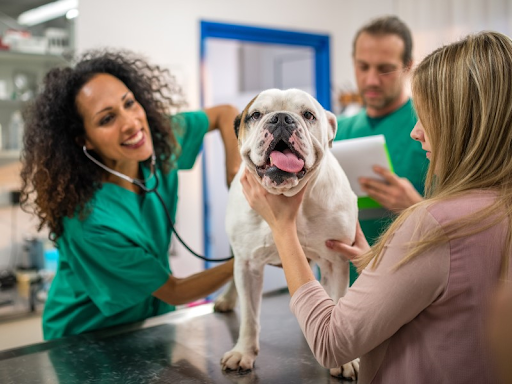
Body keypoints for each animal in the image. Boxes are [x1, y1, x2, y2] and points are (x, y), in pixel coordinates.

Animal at [216, 88, 360, 380]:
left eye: (308, 115)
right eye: (256, 115)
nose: (281, 118)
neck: (289, 196)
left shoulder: (336, 260)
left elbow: (337, 299)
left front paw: (344, 360)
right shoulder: (248, 264)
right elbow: (249, 316)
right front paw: (243, 352)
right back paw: (226, 298)